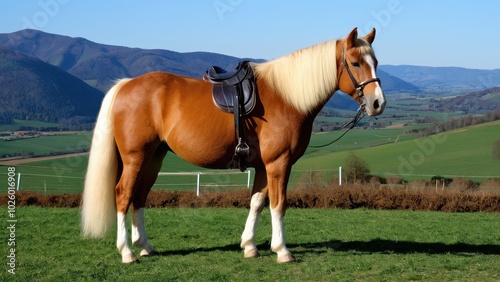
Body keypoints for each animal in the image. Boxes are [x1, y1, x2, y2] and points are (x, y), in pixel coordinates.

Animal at [82, 27, 386, 264]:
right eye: (355, 63)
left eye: (376, 61)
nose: (378, 103)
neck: (287, 97)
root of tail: (125, 85)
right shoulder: (279, 163)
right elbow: (278, 204)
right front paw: (282, 250)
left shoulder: (263, 166)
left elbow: (257, 203)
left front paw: (250, 246)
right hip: (135, 157)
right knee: (123, 194)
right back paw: (127, 252)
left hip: (153, 158)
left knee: (139, 197)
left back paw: (144, 247)